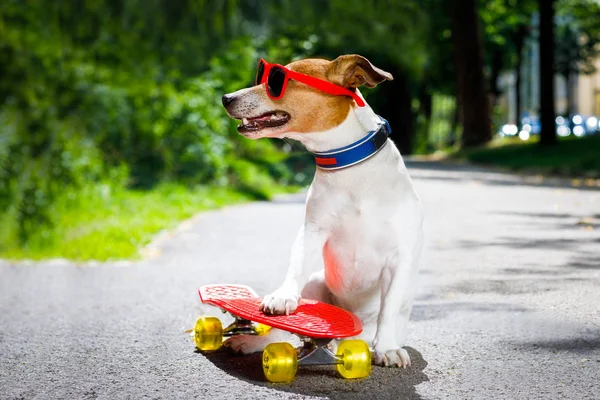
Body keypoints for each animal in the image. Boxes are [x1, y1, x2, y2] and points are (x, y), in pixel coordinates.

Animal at [219, 54, 422, 368]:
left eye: (277, 80)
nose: (226, 98)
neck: (349, 168)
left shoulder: (399, 257)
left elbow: (388, 309)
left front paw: (387, 348)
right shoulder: (312, 232)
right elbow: (295, 268)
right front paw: (282, 297)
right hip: (315, 285)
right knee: (282, 329)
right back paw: (253, 341)